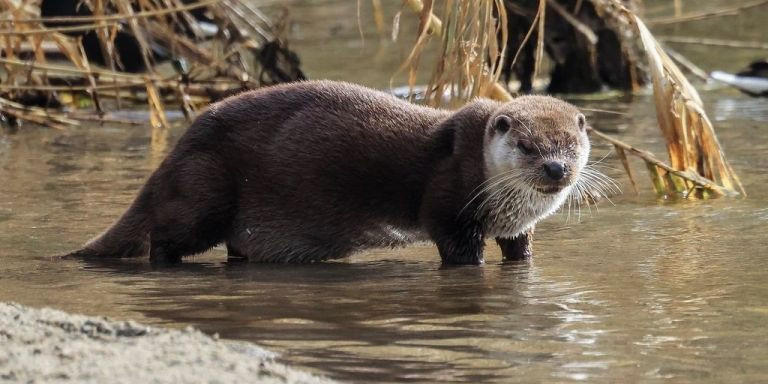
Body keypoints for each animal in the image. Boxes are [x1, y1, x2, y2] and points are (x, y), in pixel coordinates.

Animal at [63, 79, 596, 262]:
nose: (555, 168)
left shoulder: (517, 228)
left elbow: (520, 253)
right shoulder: (448, 204)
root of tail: (177, 151)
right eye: (527, 146)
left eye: (570, 145)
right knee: (166, 237)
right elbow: (458, 250)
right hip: (205, 188)